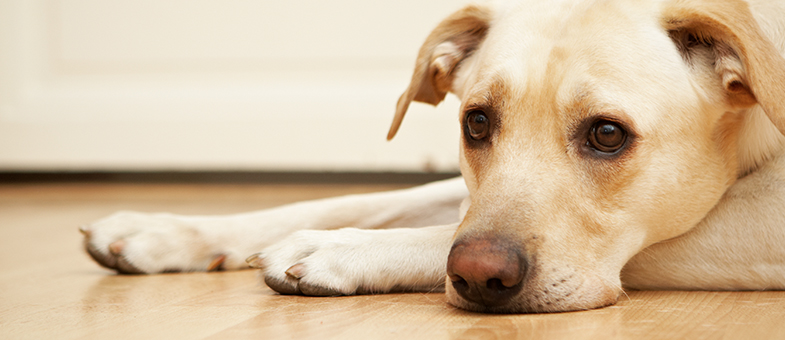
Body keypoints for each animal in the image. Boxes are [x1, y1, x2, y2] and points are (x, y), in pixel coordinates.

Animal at [79, 0, 784, 314]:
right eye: (476, 123)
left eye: (607, 135)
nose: (478, 277)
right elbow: (357, 200)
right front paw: (165, 230)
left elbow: (436, 230)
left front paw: (337, 250)